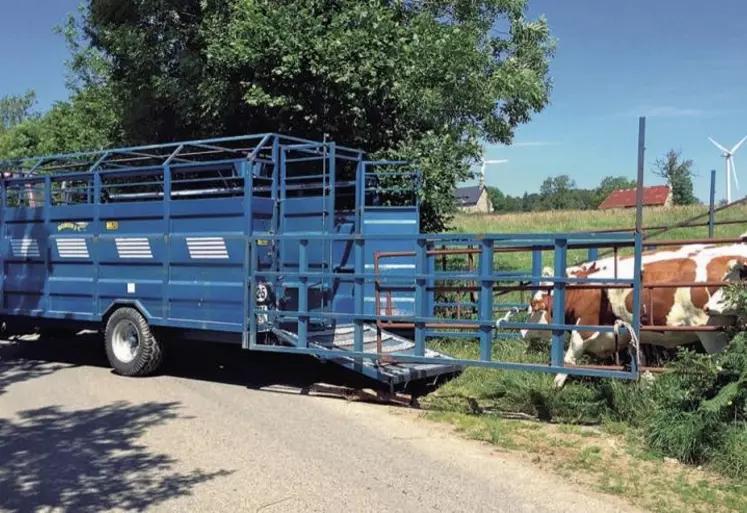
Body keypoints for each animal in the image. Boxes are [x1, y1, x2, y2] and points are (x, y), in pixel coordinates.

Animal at [524, 238, 747, 386]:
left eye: (533, 306)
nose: (522, 332)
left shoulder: (584, 328)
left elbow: (568, 359)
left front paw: (556, 384)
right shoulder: (628, 333)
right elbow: (640, 360)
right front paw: (648, 382)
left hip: (711, 332)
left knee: (720, 363)